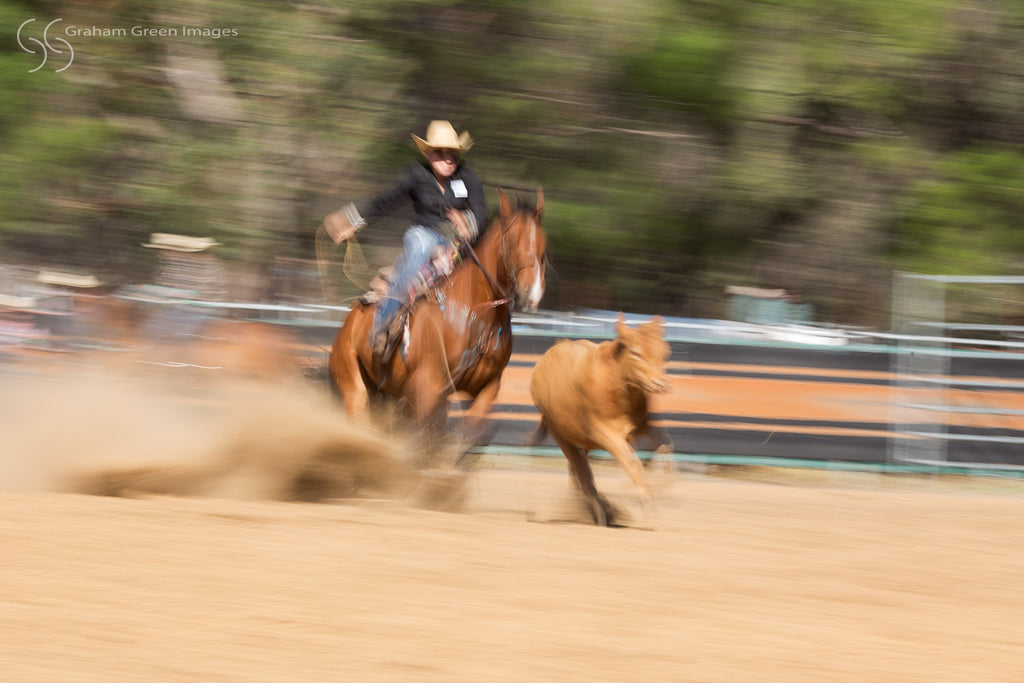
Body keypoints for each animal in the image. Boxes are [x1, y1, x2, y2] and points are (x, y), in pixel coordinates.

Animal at [331, 185, 548, 454]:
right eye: (512, 240)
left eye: (543, 244)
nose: (532, 294)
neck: (476, 317)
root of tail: (350, 322)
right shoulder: (426, 388)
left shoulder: (487, 387)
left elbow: (468, 437)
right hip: (354, 388)